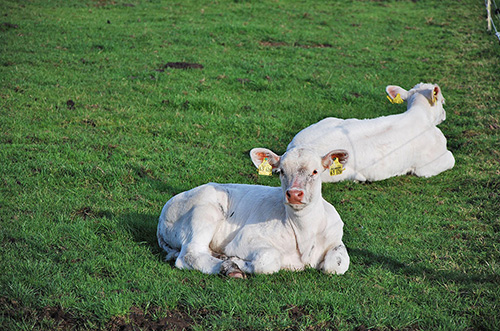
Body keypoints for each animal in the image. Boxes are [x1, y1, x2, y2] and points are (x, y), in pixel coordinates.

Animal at [158, 148, 350, 278]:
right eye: (281, 171)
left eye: (315, 171)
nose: (294, 194)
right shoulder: (244, 239)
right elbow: (269, 260)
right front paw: (237, 261)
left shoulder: (335, 238)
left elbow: (337, 265)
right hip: (203, 212)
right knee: (189, 255)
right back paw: (229, 268)